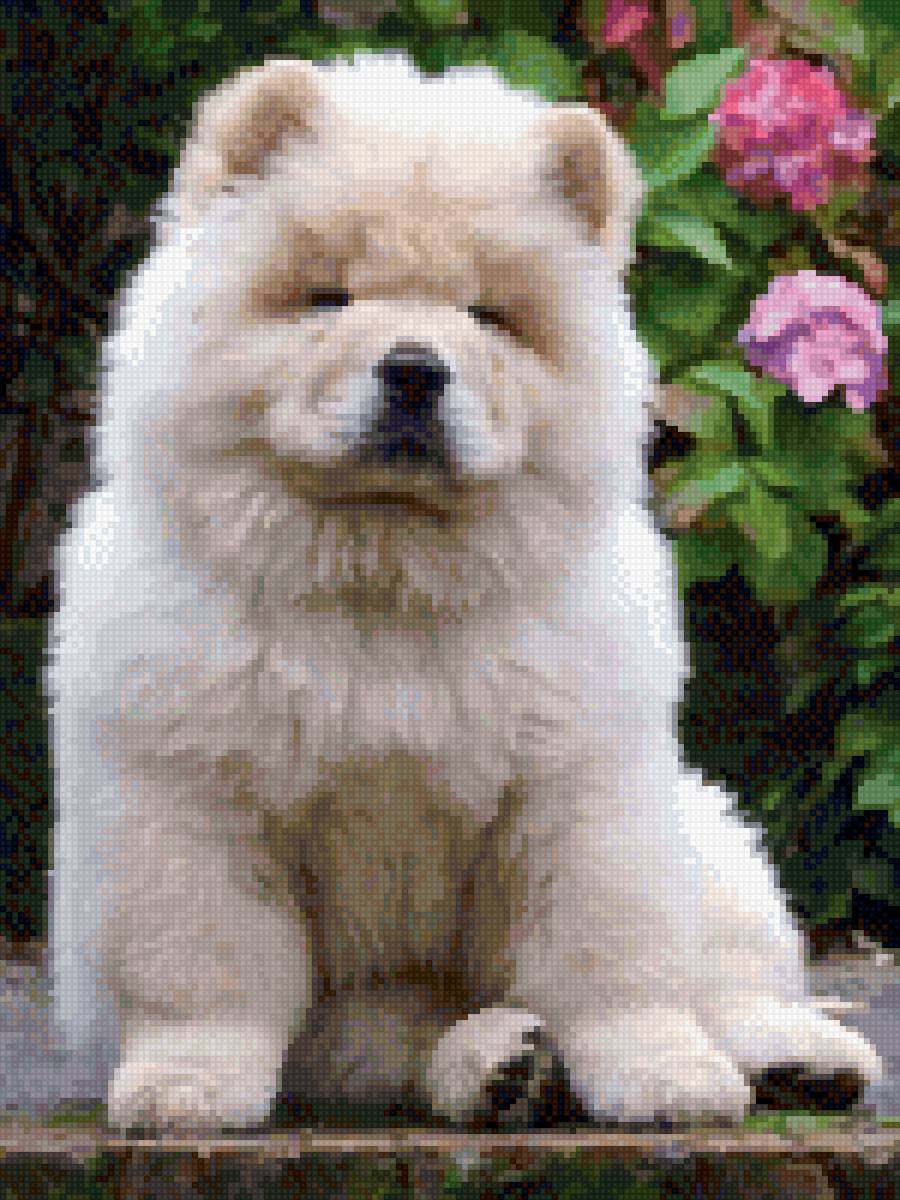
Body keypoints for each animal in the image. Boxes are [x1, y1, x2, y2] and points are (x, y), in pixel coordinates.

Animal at [48, 52, 882, 1132]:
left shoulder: (580, 788)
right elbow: (205, 967)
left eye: (488, 314)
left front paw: (662, 1078)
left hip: (710, 842)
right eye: (329, 298)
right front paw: (186, 1089)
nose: (413, 370)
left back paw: (798, 1061)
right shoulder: (194, 794)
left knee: (729, 983)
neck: (387, 569)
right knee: (410, 1041)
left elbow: (613, 960)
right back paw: (503, 1068)